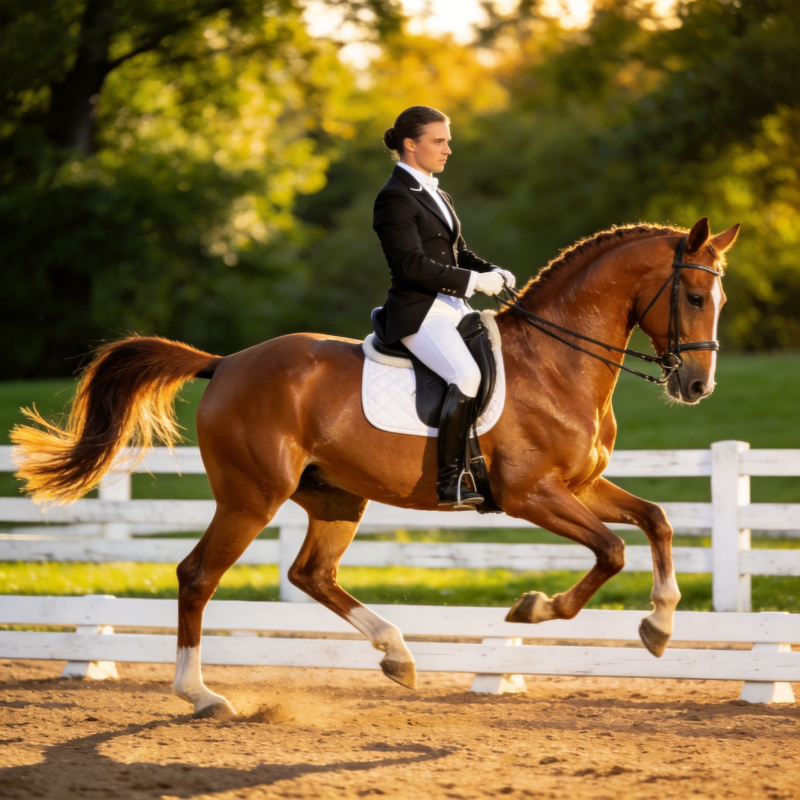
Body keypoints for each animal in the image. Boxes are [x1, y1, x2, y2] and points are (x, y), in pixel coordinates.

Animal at [12, 217, 739, 718]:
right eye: (693, 297)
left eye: (720, 300)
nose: (699, 386)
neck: (556, 364)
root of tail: (227, 363)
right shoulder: (531, 494)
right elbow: (612, 549)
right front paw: (535, 609)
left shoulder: (579, 484)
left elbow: (656, 520)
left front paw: (658, 626)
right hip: (251, 498)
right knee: (197, 576)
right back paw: (202, 694)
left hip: (336, 498)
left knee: (311, 574)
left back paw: (397, 654)